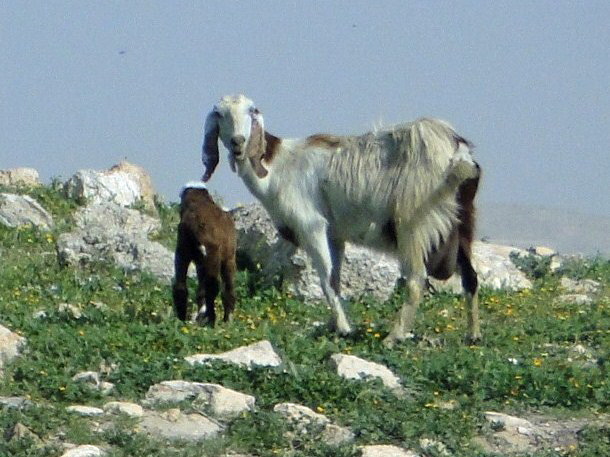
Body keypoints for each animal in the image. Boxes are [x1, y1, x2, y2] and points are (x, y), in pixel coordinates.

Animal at [200, 93, 480, 346]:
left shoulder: (311, 226)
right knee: (470, 277)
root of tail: (457, 152)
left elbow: (325, 279)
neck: (277, 166)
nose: (238, 142)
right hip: (462, 222)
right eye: (219, 113)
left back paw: (393, 337)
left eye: (251, 110)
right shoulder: (335, 234)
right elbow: (335, 277)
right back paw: (472, 336)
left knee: (415, 280)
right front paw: (333, 325)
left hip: (414, 223)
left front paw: (344, 328)